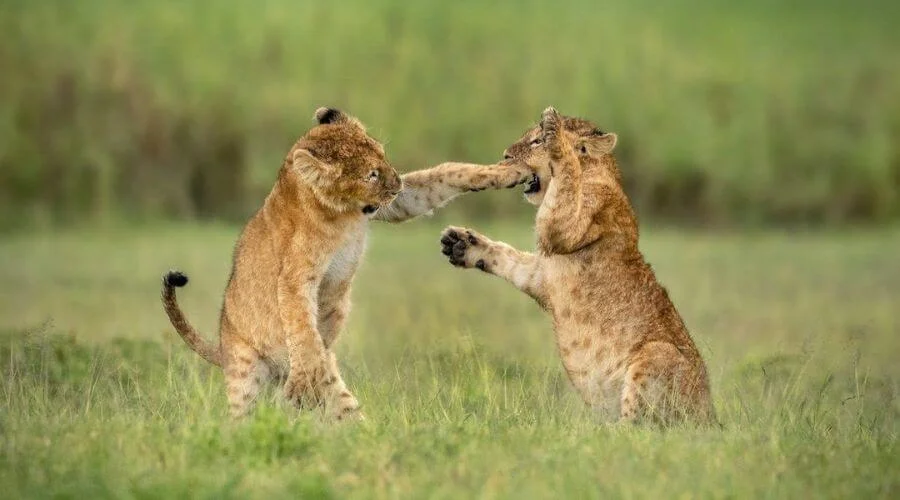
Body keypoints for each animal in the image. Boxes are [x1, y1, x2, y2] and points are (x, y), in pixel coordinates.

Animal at [162, 107, 531, 420]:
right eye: (371, 175)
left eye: (382, 155)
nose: (397, 181)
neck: (342, 214)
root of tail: (223, 344)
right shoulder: (295, 275)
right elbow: (300, 323)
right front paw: (303, 376)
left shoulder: (395, 204)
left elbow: (446, 173)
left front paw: (508, 172)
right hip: (248, 375)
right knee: (250, 416)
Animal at [440, 107, 714, 424]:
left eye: (536, 141)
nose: (505, 155)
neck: (598, 171)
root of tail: (711, 417)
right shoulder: (542, 274)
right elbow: (509, 258)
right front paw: (461, 244)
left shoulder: (566, 225)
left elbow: (565, 180)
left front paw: (556, 132)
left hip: (658, 355)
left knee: (640, 426)